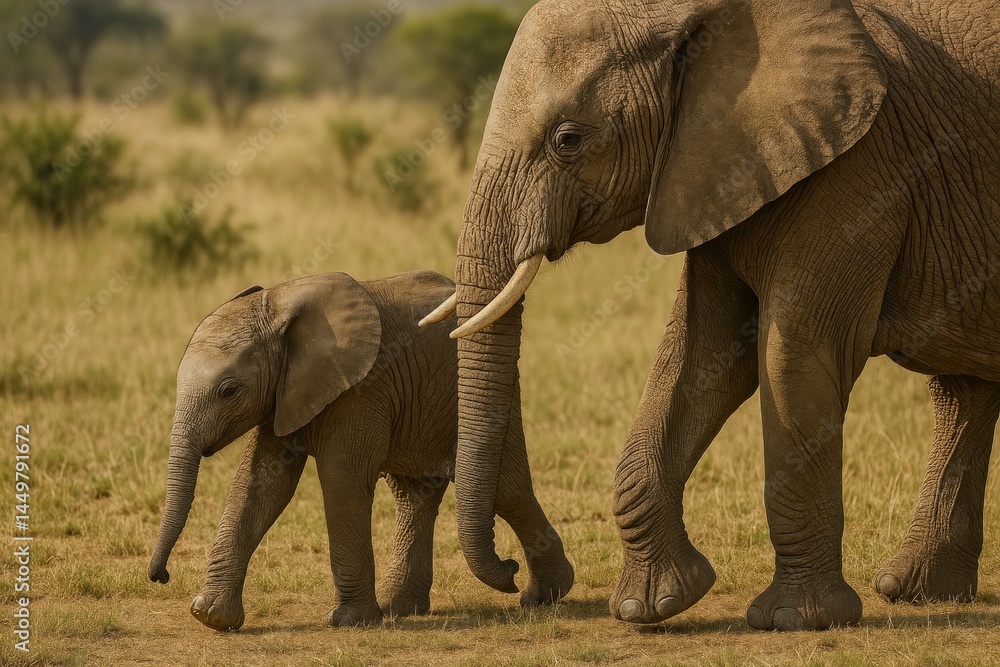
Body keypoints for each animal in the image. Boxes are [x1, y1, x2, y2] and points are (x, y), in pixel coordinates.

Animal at [147, 271, 573, 631]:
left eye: (229, 391)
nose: (160, 576)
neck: (280, 303)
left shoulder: (360, 389)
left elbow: (342, 482)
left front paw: (350, 621)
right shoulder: (282, 396)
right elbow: (259, 485)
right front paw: (210, 617)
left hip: (493, 397)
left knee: (507, 489)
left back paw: (543, 596)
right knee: (413, 496)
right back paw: (400, 608)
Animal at [419, 0, 1000, 631]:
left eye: (567, 140)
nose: (513, 576)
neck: (693, 14)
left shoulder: (861, 167)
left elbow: (791, 355)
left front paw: (794, 619)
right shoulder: (713, 171)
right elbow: (702, 357)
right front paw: (651, 606)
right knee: (962, 391)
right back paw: (919, 592)